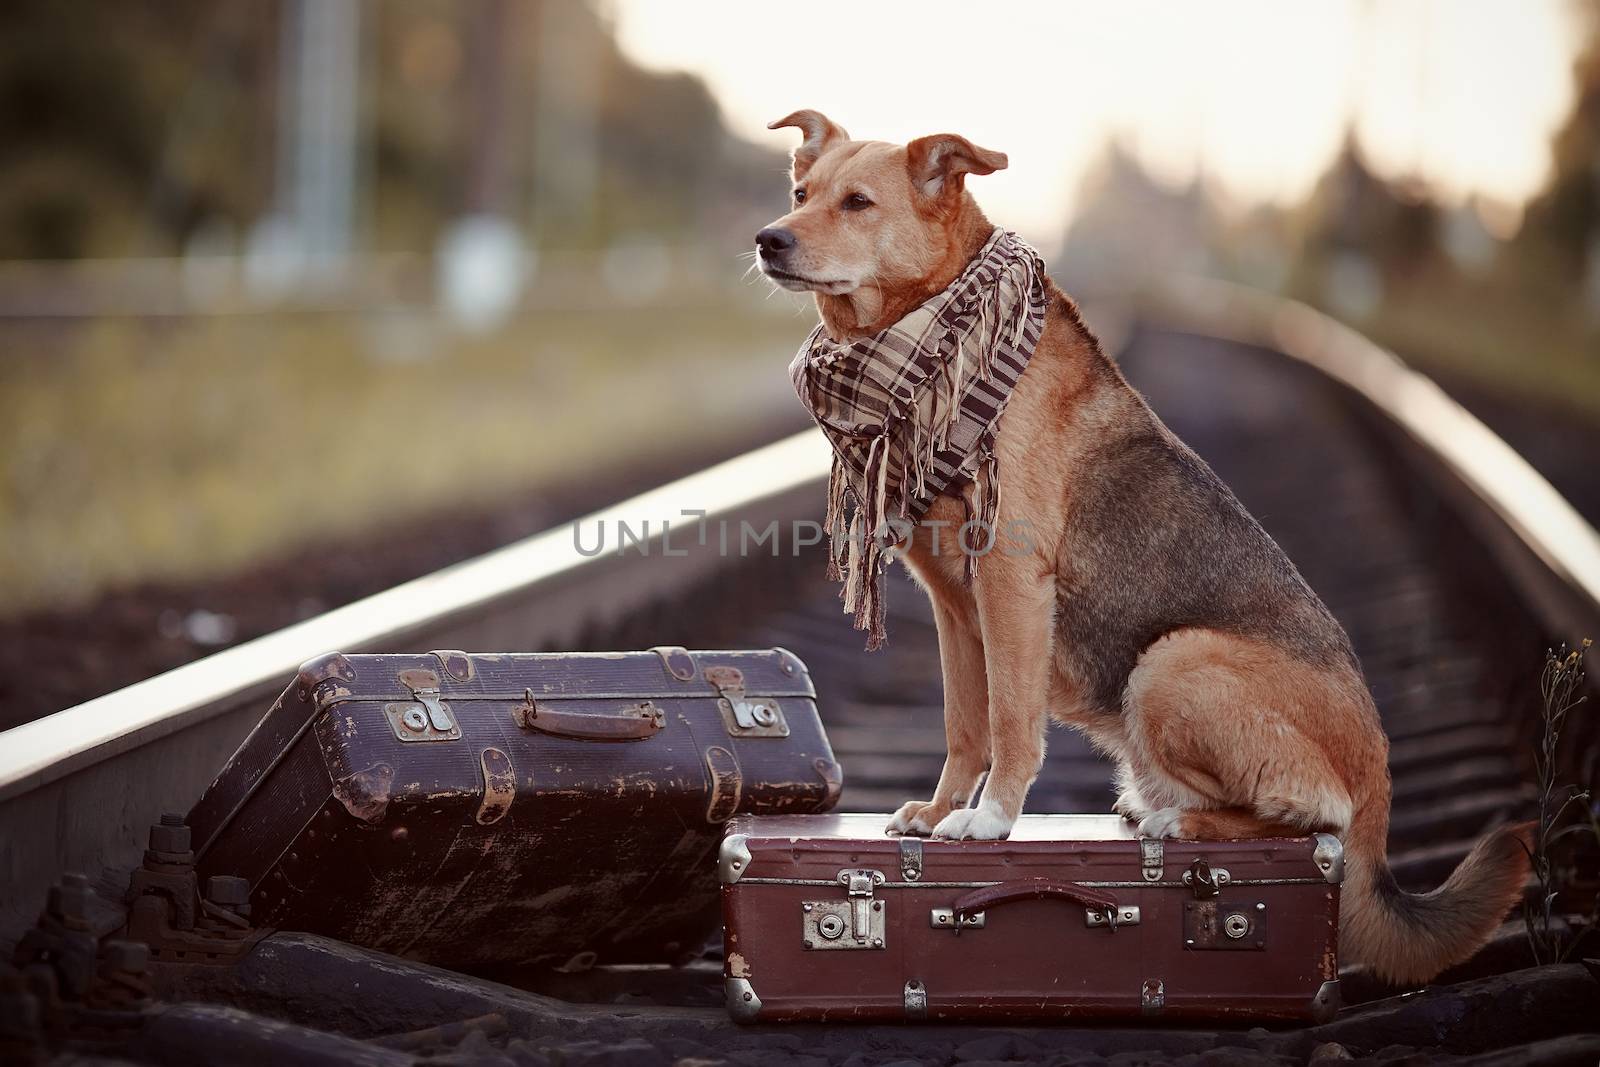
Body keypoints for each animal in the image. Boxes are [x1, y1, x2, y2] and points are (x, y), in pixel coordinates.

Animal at [761, 110, 1536, 985]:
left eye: (857, 202)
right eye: (800, 192)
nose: (767, 240)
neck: (928, 343)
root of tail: (1380, 787)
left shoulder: (1011, 586)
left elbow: (1011, 723)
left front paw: (991, 820)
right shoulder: (954, 606)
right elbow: (966, 725)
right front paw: (939, 811)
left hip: (1172, 661)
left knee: (1312, 816)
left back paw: (1182, 823)